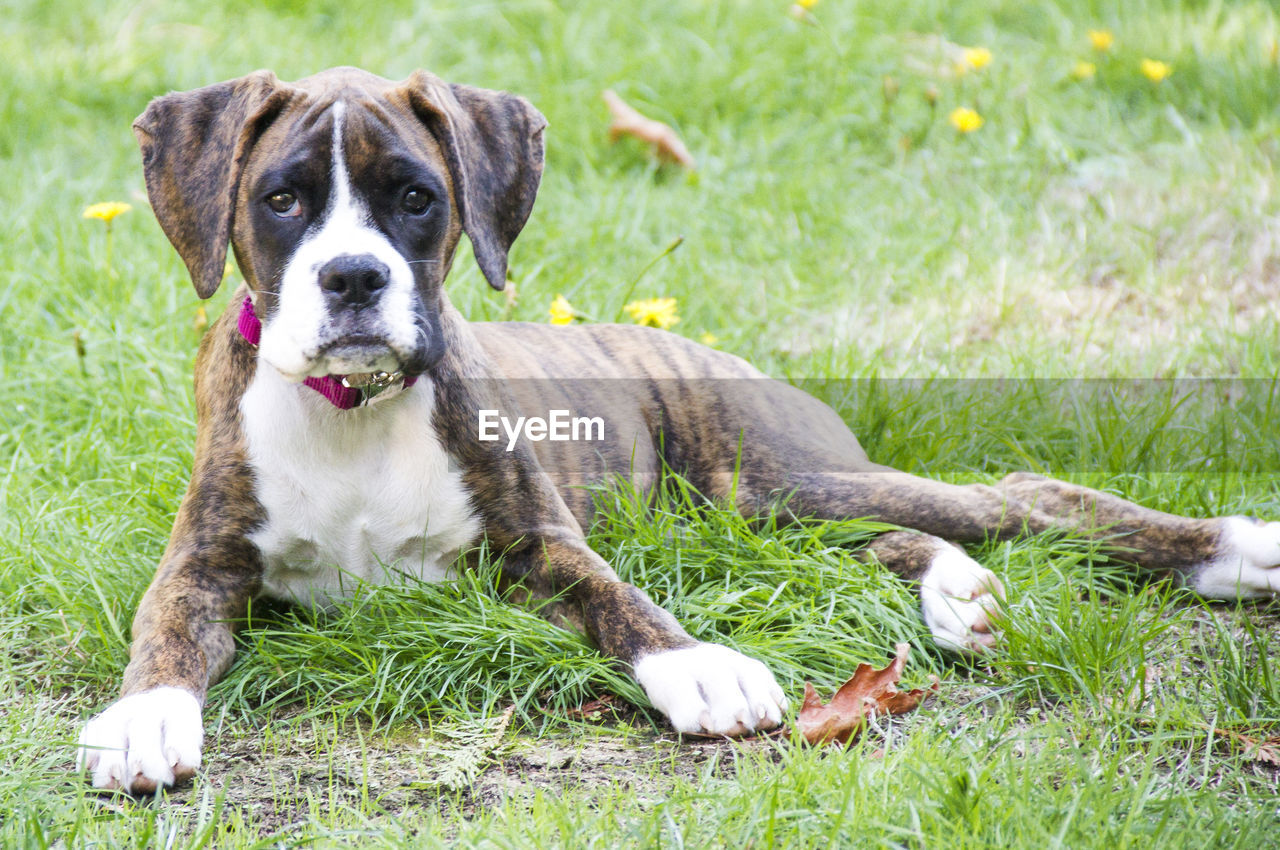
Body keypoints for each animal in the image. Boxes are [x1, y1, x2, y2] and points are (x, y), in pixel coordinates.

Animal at [77, 64, 1280, 788]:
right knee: (898, 537)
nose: (354, 277)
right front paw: (147, 718)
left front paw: (701, 669)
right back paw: (959, 596)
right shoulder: (205, 560)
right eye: (280, 200)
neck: (356, 411)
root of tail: (718, 352)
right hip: (761, 513)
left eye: (415, 197)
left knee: (1017, 498)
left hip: (778, 477)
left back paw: (1234, 548)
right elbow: (164, 631)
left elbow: (625, 602)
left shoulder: (541, 545)